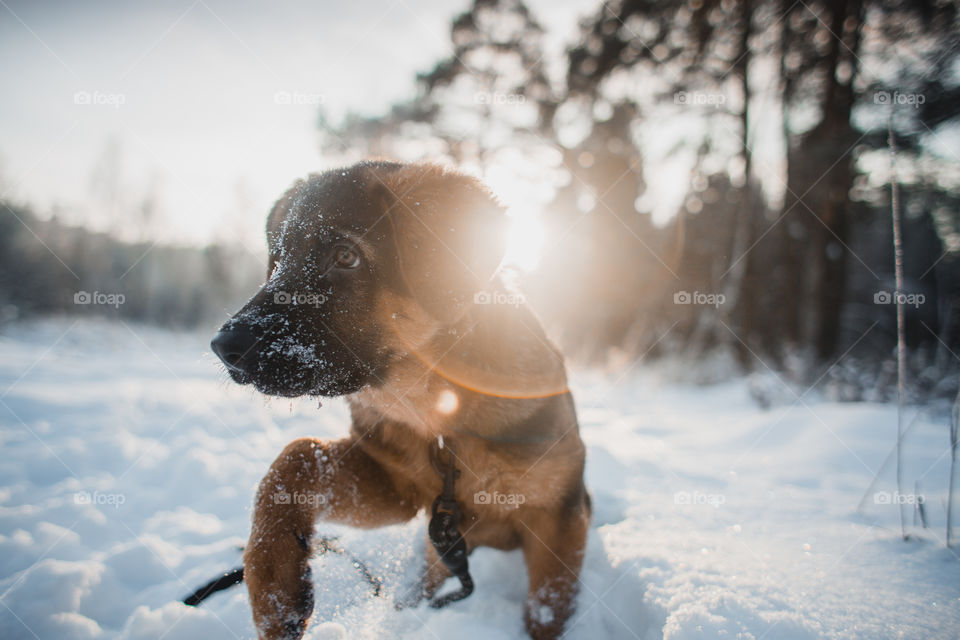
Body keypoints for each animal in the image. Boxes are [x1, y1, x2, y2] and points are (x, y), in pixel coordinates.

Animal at [212, 161, 592, 640]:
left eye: (345, 256)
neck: (436, 417)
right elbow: (295, 456)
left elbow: (547, 607)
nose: (224, 347)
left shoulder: (557, 519)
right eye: (277, 261)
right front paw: (272, 583)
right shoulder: (394, 486)